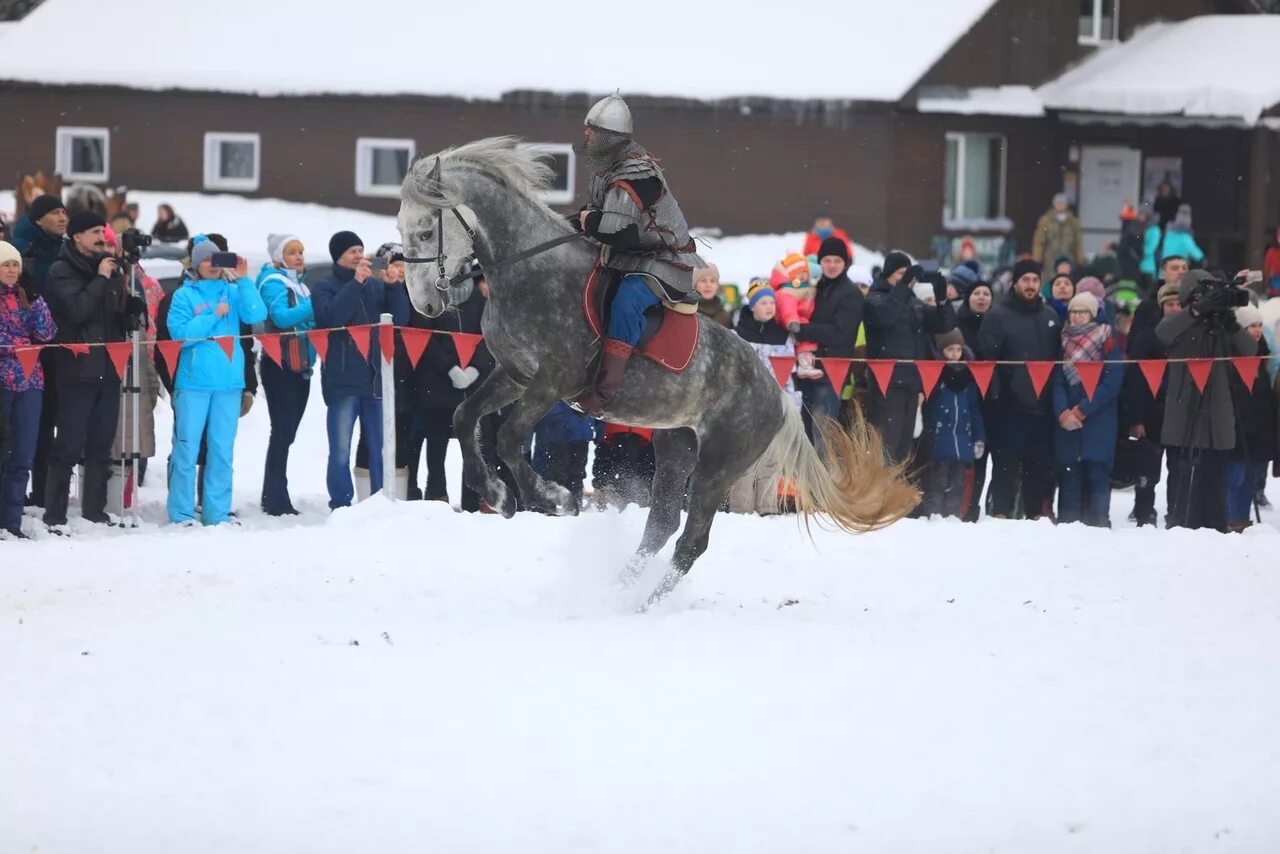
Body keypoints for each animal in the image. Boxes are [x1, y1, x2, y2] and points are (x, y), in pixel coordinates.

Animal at [394, 138, 916, 601]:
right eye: (401, 231)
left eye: (426, 231)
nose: (424, 305)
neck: (530, 273)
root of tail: (777, 395)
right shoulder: (513, 374)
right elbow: (464, 417)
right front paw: (497, 495)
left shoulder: (551, 382)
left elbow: (506, 437)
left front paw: (553, 497)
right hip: (676, 447)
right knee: (661, 523)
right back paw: (620, 589)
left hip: (716, 467)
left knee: (691, 540)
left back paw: (641, 602)